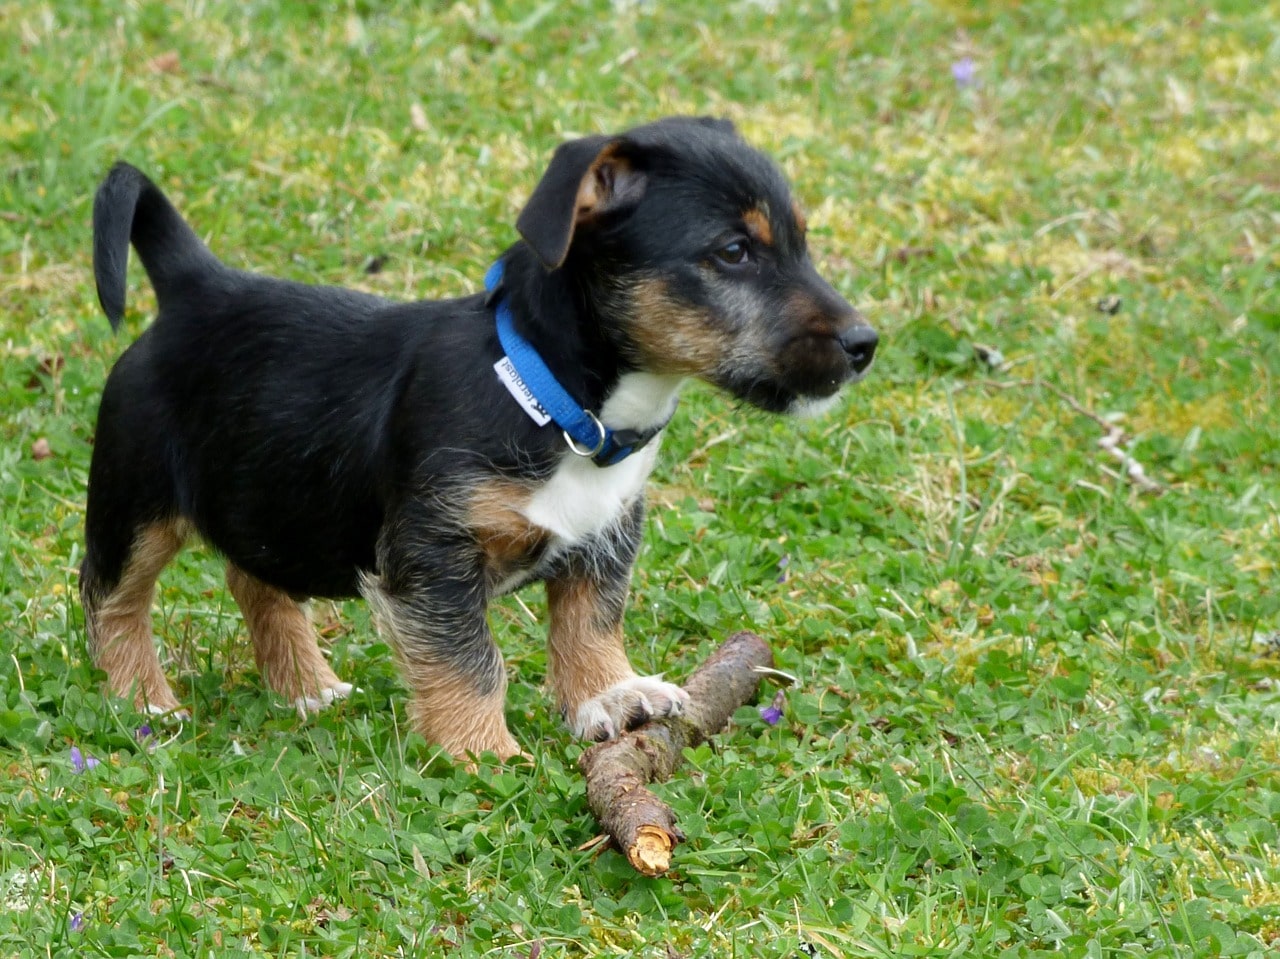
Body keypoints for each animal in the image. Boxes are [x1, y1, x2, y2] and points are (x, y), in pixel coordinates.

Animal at [82, 115, 880, 757]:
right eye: (733, 251)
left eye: (800, 244)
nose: (866, 344)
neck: (554, 402)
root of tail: (196, 285)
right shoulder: (432, 558)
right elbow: (471, 660)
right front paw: (483, 753)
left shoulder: (606, 537)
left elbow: (592, 624)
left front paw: (610, 694)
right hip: (135, 504)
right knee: (110, 598)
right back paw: (144, 701)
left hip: (273, 495)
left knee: (252, 578)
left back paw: (308, 687)